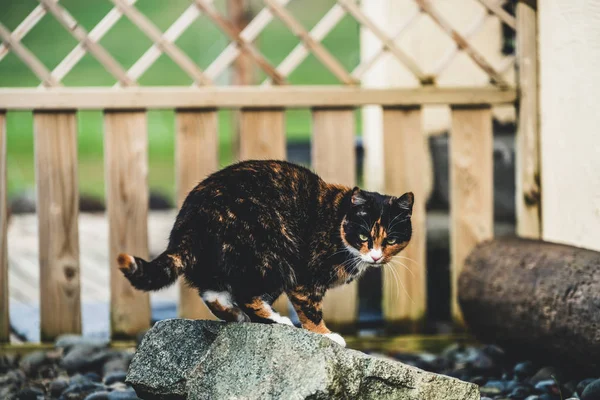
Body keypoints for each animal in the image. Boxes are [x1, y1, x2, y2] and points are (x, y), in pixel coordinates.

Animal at [117, 158, 412, 346]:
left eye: (391, 240)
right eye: (363, 236)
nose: (376, 256)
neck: (338, 220)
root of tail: (188, 226)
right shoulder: (306, 277)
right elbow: (310, 309)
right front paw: (326, 334)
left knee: (214, 293)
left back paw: (240, 316)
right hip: (272, 254)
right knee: (245, 293)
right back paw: (277, 320)